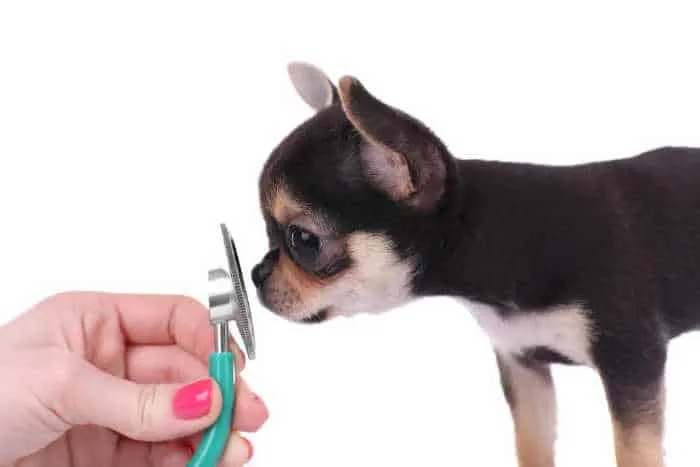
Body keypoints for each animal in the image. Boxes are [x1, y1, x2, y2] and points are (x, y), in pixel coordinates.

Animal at [250, 63, 700, 467]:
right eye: (269, 232)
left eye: (304, 241)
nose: (255, 275)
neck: (507, 241)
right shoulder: (524, 367)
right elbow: (533, 447)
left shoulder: (631, 363)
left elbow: (635, 453)